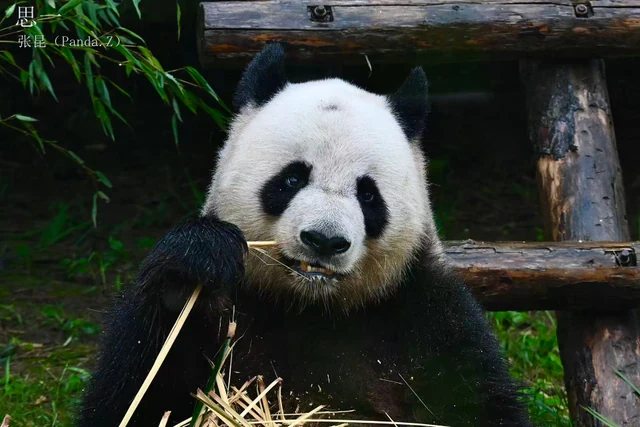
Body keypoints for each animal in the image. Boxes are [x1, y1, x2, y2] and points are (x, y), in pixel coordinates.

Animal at [77, 44, 532, 427]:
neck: (311, 306)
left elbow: (476, 399)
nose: (325, 241)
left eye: (368, 195)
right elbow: (136, 396)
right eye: (292, 178)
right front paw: (194, 265)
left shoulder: (425, 313)